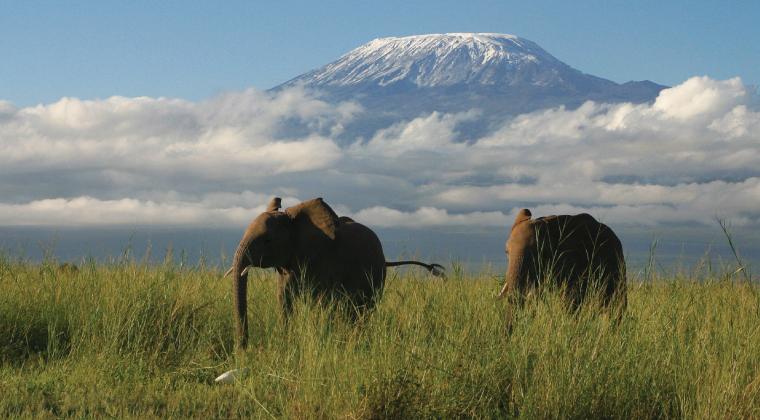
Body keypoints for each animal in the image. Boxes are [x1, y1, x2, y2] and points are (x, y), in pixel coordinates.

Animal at [223, 197, 442, 348]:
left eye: (268, 241)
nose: (243, 352)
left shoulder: (328, 260)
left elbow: (323, 303)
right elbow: (284, 299)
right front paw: (287, 341)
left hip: (377, 274)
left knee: (362, 309)